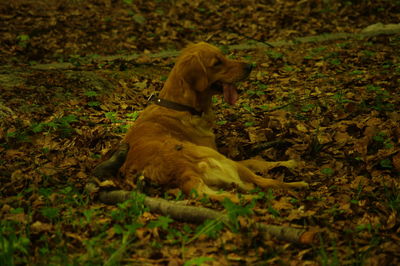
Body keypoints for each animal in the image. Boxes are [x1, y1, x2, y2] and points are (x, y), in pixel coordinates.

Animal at [95, 42, 308, 203]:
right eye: (217, 62)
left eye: (224, 56)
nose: (250, 66)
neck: (182, 106)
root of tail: (184, 173)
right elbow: (257, 161)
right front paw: (288, 162)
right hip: (222, 160)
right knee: (265, 183)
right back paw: (296, 184)